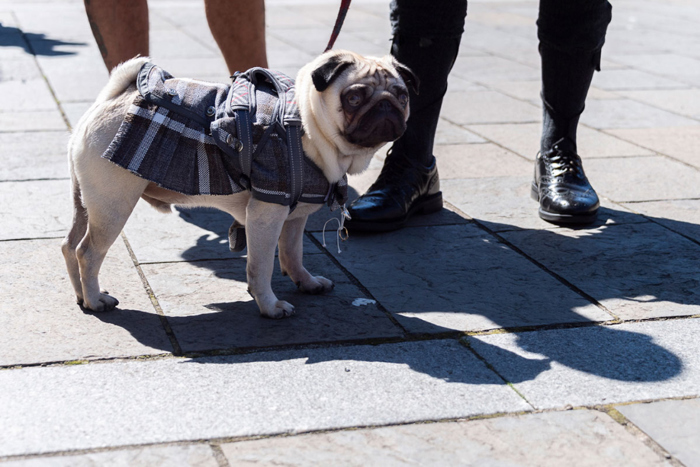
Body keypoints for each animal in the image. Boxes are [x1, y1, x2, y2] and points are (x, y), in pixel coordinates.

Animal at [61, 52, 416, 322]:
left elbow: (293, 253)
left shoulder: (295, 217)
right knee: (87, 252)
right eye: (354, 97)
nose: (387, 105)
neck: (305, 126)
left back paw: (82, 297)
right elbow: (261, 266)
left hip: (86, 202)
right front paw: (270, 306)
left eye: (402, 96)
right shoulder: (266, 215)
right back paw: (96, 301)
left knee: (69, 246)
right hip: (113, 205)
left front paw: (307, 282)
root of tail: (110, 99)